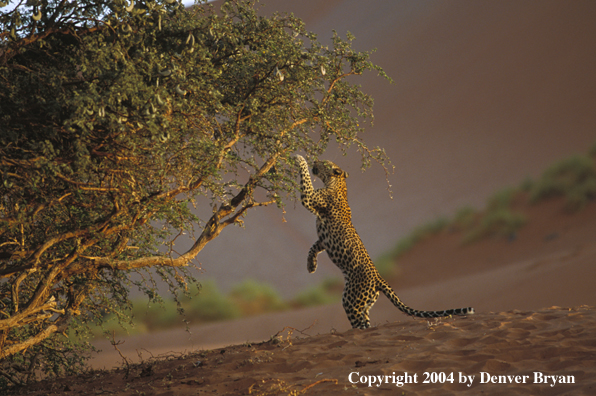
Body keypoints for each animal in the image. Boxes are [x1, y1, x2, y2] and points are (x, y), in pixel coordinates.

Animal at [294, 155, 474, 328]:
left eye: (324, 162)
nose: (315, 161)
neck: (338, 183)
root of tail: (378, 278)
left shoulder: (309, 199)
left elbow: (306, 181)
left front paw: (299, 158)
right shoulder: (323, 239)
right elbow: (313, 247)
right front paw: (311, 266)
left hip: (351, 300)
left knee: (360, 325)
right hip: (364, 303)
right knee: (366, 323)